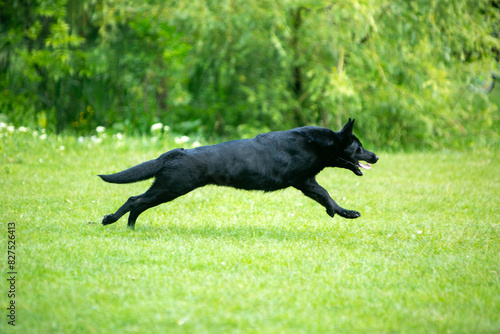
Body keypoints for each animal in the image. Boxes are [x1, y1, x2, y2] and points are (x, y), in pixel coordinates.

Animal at [98, 118, 378, 230]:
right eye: (359, 148)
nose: (375, 156)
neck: (318, 144)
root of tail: (177, 152)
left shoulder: (307, 182)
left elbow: (326, 196)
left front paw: (342, 212)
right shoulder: (303, 181)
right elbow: (327, 194)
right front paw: (343, 212)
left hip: (167, 188)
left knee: (138, 204)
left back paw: (130, 227)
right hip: (171, 187)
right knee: (134, 200)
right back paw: (110, 220)